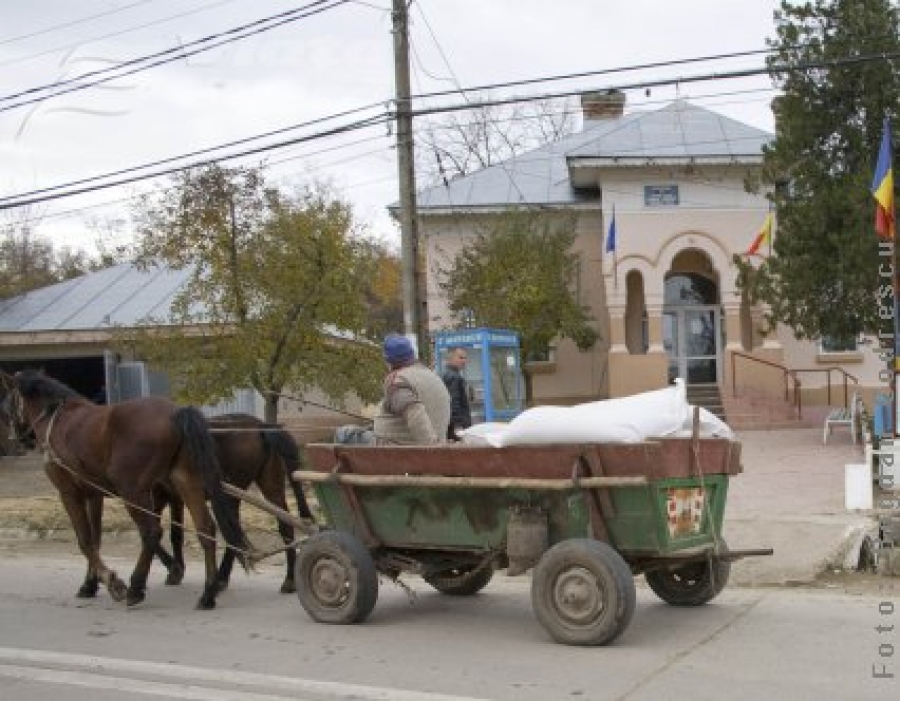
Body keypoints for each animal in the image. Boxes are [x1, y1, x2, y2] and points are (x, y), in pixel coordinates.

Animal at [2, 366, 253, 608]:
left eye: (7, 403)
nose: (18, 441)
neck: (57, 420)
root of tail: (175, 413)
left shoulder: (69, 493)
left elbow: (84, 541)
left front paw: (112, 582)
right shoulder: (94, 495)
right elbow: (95, 539)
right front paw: (90, 584)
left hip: (133, 492)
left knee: (151, 533)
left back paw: (136, 587)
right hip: (185, 482)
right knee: (206, 529)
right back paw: (208, 593)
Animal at [163, 412, 314, 592]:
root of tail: (260, 426)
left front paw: (173, 569)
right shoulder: (173, 497)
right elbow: (172, 533)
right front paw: (175, 568)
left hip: (232, 493)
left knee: (233, 530)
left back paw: (221, 578)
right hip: (270, 484)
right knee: (284, 524)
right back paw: (289, 579)